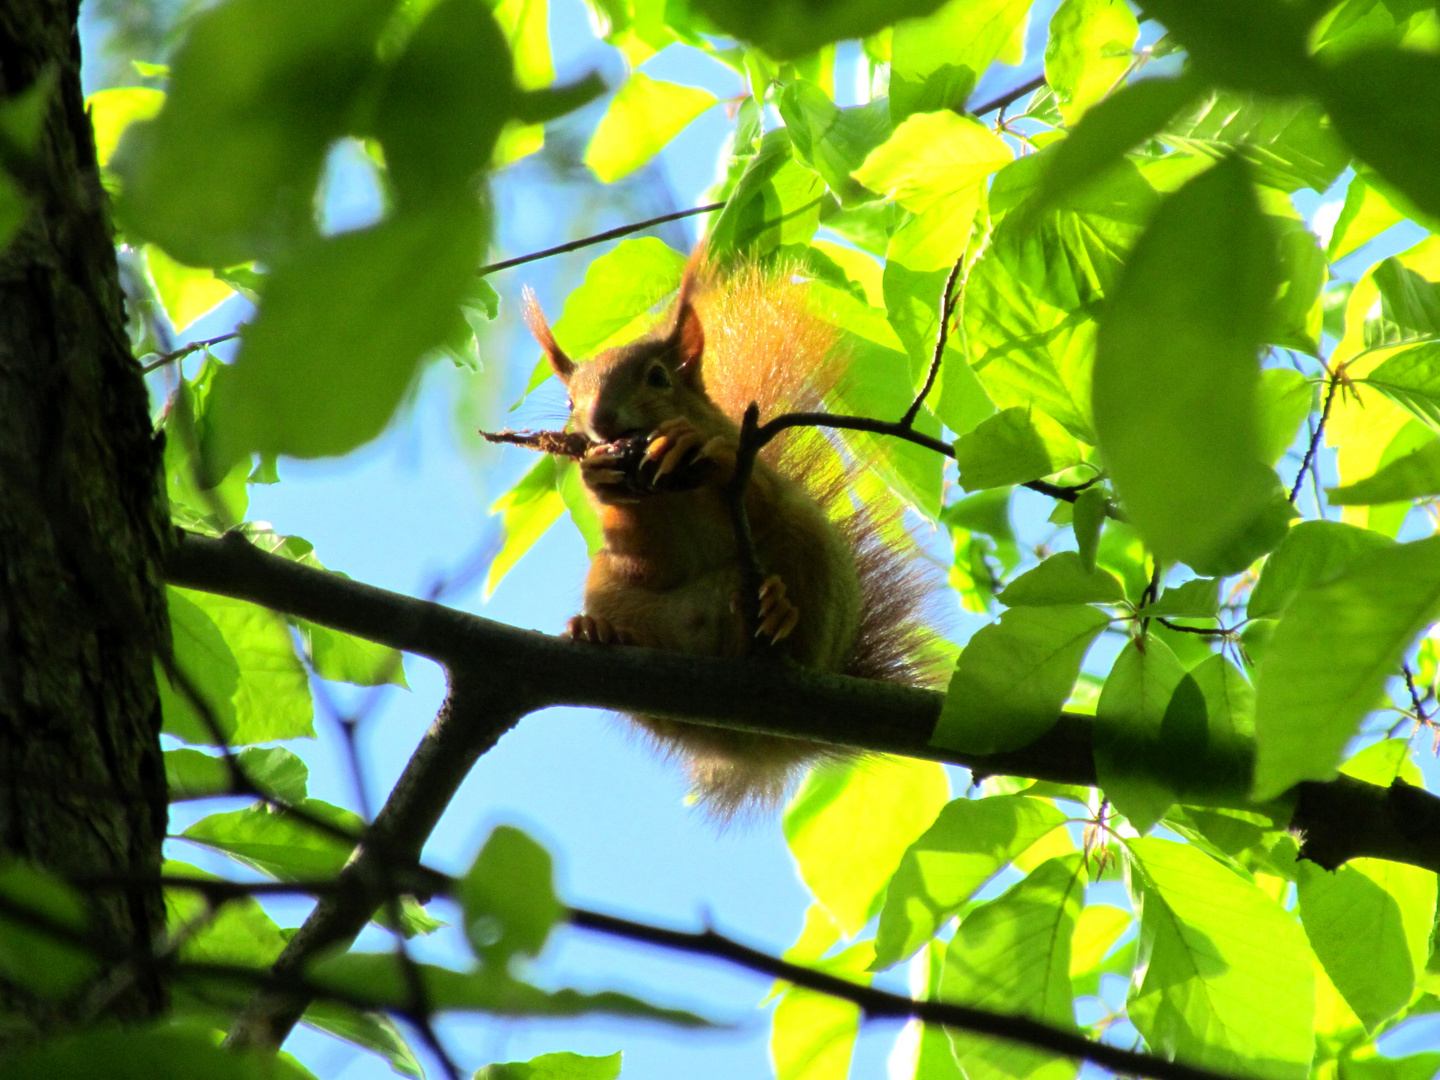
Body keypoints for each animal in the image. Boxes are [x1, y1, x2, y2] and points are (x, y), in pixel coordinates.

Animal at [524, 260, 938, 817]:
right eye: (571, 399)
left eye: (658, 377)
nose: (599, 421)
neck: (672, 492)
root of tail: (759, 741)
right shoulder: (639, 544)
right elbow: (644, 558)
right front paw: (598, 477)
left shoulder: (756, 475)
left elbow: (752, 491)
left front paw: (696, 445)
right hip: (609, 589)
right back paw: (602, 631)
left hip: (810, 555)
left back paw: (776, 611)